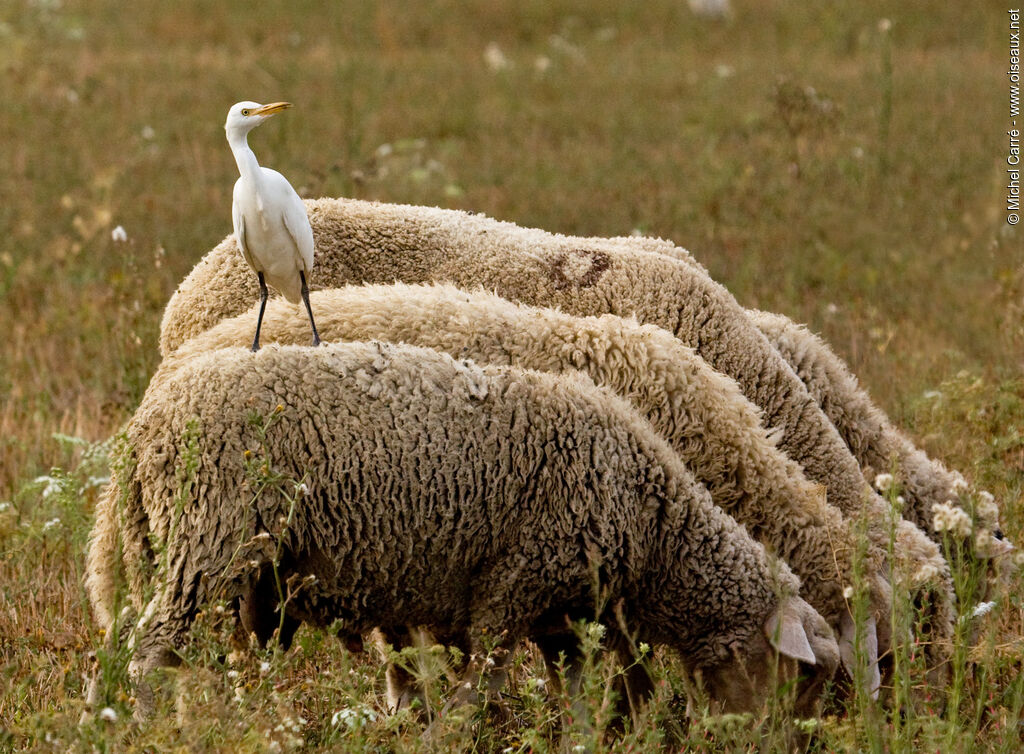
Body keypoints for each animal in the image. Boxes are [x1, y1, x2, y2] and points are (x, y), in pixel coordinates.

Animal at [86, 342, 839, 717]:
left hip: (194, 555)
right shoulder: (511, 589)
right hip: (207, 540)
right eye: (793, 676)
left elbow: (591, 695)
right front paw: (462, 730)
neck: (656, 528)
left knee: (133, 645)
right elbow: (484, 689)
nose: (781, 738)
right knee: (149, 653)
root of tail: (143, 429)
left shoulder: (562, 613)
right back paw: (147, 726)